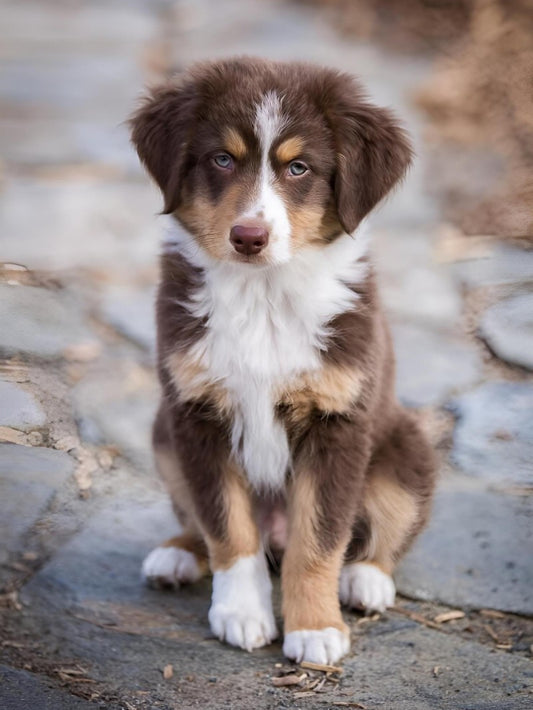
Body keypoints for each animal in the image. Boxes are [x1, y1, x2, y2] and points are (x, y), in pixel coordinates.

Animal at [131, 57, 434, 668]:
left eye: (298, 168)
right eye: (222, 159)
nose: (249, 237)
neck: (263, 294)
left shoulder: (338, 423)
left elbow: (317, 540)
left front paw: (315, 629)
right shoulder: (196, 415)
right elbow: (227, 527)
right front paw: (241, 613)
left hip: (406, 448)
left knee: (382, 531)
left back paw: (366, 581)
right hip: (162, 434)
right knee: (198, 521)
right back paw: (178, 554)